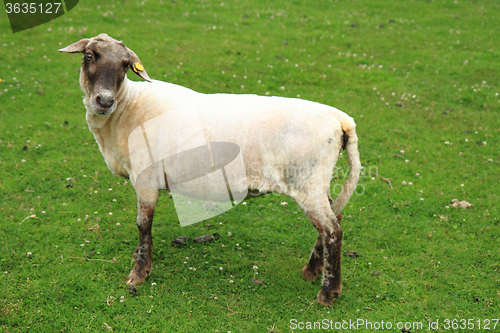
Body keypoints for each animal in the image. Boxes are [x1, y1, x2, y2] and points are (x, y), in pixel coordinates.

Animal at [60, 33, 362, 306]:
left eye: (125, 65)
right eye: (90, 56)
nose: (104, 101)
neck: (127, 107)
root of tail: (341, 120)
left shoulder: (146, 178)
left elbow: (143, 224)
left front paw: (139, 273)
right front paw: (138, 258)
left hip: (307, 182)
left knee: (332, 230)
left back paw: (328, 293)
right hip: (315, 183)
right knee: (332, 217)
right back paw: (312, 271)